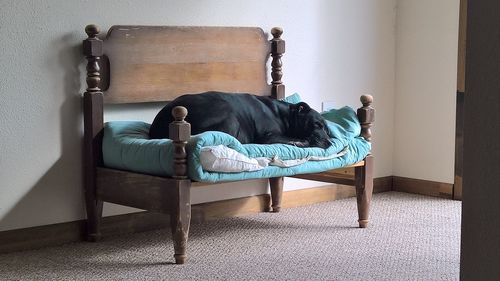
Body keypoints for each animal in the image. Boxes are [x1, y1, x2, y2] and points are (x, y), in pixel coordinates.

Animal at [150, 92, 334, 149]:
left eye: (328, 130)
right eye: (316, 124)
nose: (329, 142)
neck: (285, 115)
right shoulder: (269, 136)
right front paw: (300, 141)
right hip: (224, 108)